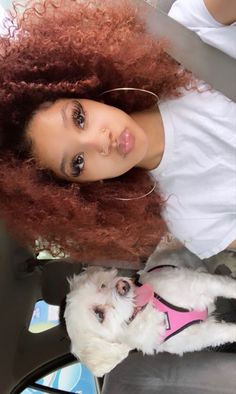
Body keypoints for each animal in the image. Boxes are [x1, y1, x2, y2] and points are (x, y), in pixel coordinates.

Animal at [63, 251, 236, 378]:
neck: (154, 312)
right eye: (100, 315)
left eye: (102, 285)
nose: (122, 286)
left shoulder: (199, 283)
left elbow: (226, 286)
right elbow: (222, 332)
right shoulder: (197, 335)